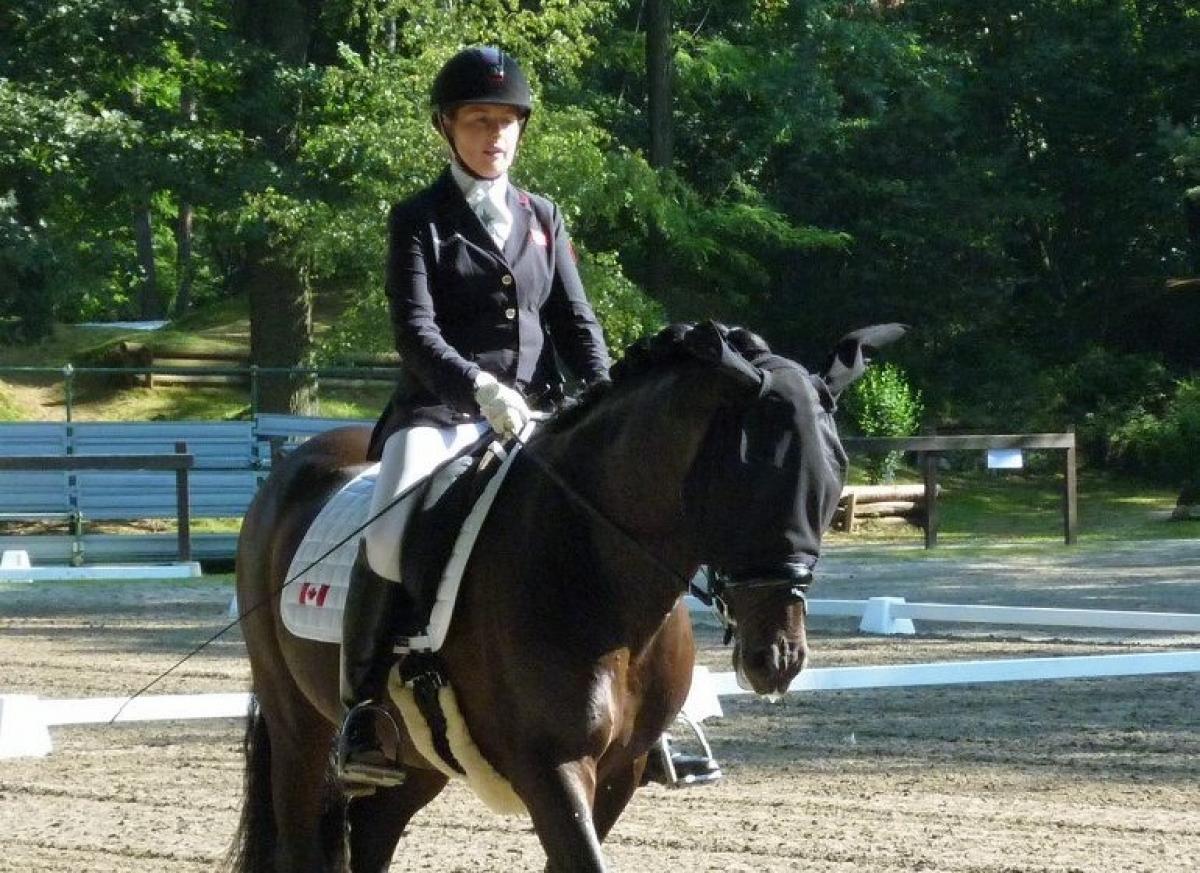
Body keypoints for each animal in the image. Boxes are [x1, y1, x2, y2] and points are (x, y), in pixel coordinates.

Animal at [225, 321, 902, 873]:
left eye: (835, 471)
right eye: (748, 473)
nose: (777, 659)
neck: (601, 576)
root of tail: (291, 468)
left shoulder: (621, 771)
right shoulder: (551, 769)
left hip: (415, 759)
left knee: (373, 836)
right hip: (299, 729)